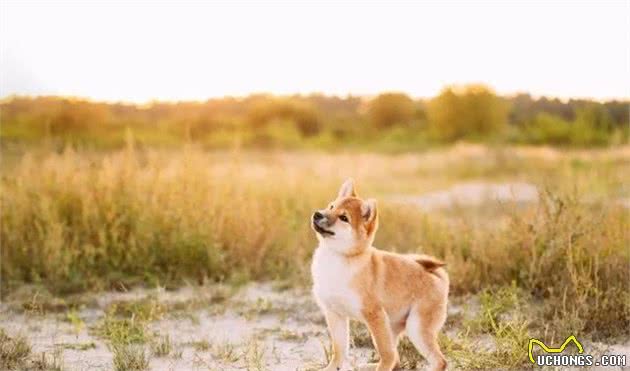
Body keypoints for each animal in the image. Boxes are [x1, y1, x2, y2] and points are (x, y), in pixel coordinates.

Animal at [312, 180, 450, 371]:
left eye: (344, 218)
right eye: (331, 206)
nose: (317, 214)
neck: (338, 257)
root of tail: (435, 274)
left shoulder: (374, 315)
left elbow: (386, 355)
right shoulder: (334, 314)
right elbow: (339, 351)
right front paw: (331, 368)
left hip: (415, 327)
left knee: (436, 360)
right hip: (392, 326)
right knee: (397, 359)